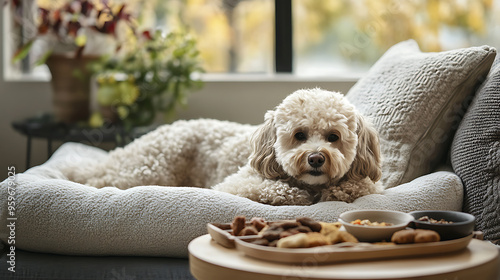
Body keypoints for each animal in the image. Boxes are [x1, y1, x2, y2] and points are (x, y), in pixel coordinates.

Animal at [63, 88, 382, 205]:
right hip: (150, 169)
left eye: (333, 137)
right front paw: (297, 195)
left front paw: (341, 189)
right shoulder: (237, 183)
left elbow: (361, 185)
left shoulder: (366, 181)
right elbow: (276, 189)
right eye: (300, 135)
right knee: (105, 179)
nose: (316, 159)